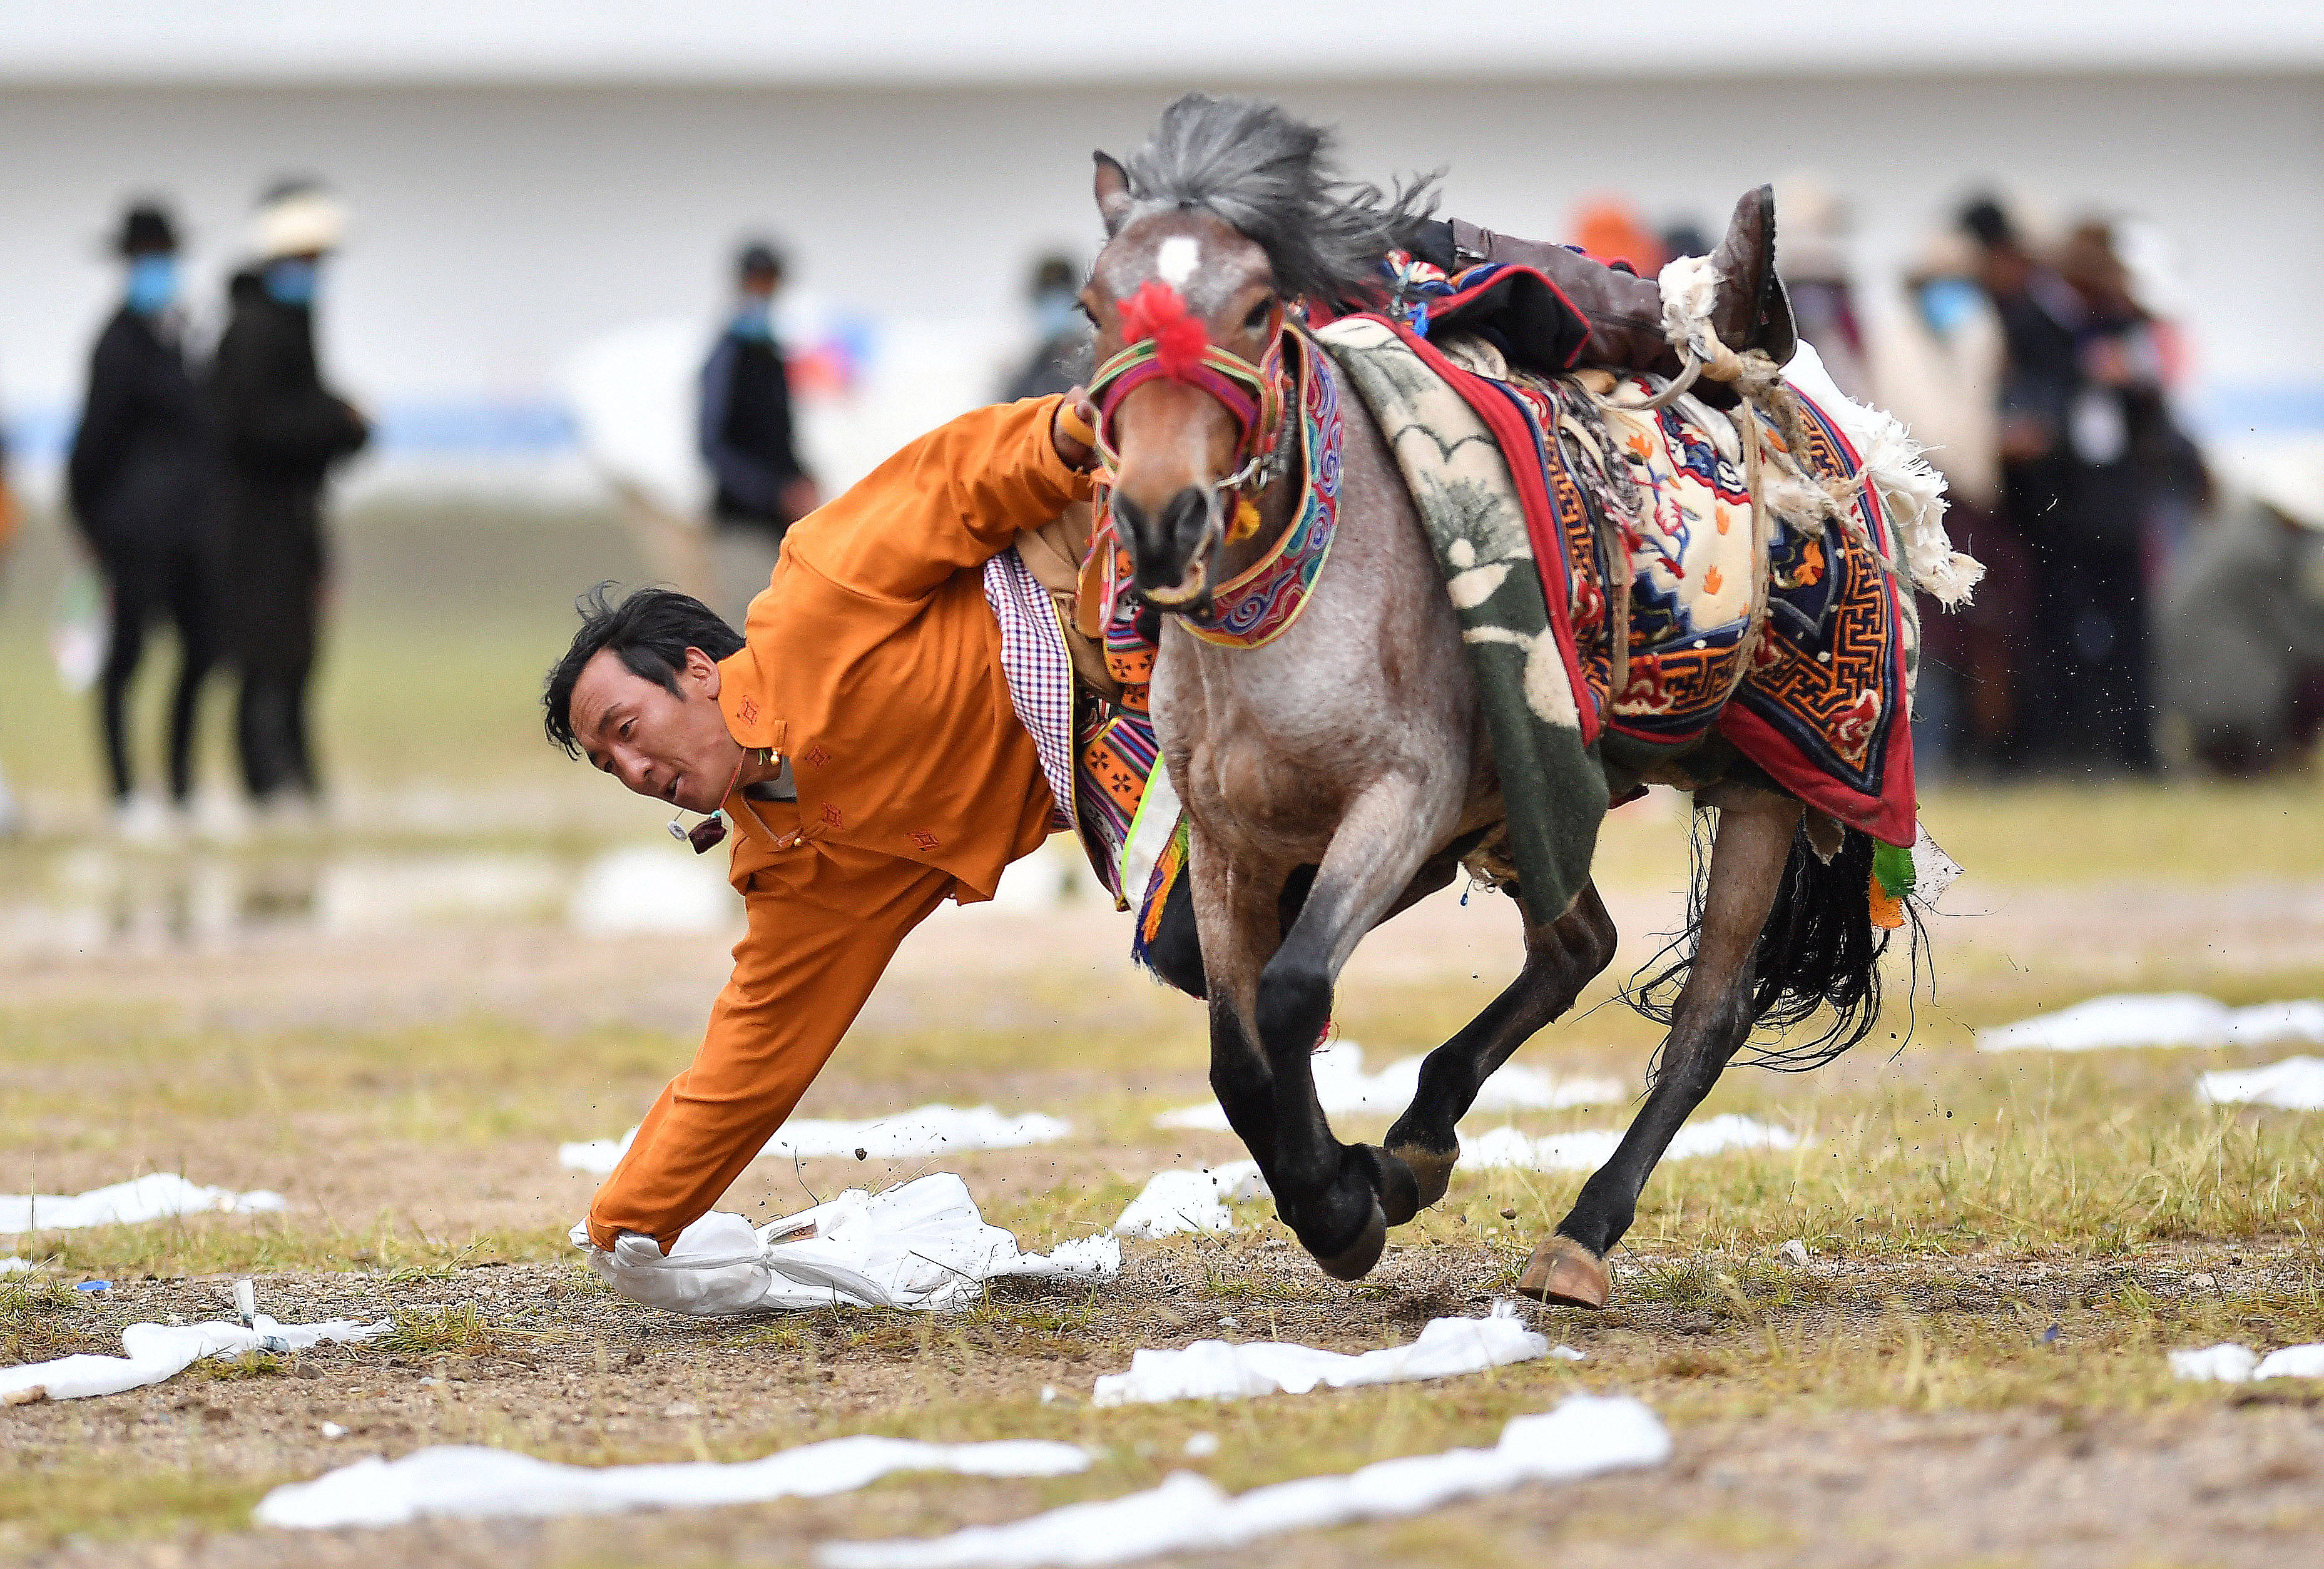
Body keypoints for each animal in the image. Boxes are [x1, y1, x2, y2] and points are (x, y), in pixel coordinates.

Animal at [1088, 91, 1905, 1311]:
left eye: (1254, 307)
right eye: (1095, 305)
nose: (1157, 515)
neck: (1291, 609)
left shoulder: (1400, 799)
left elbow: (1290, 993)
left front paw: (1339, 1206)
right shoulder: (1234, 843)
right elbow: (1238, 1050)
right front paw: (1358, 1181)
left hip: (1759, 788)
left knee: (1706, 1016)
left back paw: (1578, 1233)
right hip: (1526, 805)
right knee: (1577, 945)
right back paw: (1422, 1137)